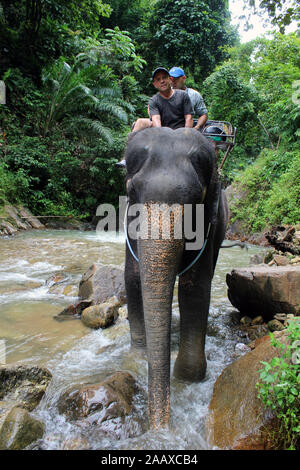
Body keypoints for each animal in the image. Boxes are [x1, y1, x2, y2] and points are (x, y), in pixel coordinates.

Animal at [123, 126, 229, 430]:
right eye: (131, 190)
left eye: (196, 198)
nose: (160, 427)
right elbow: (133, 278)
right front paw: (137, 357)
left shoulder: (209, 224)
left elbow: (195, 289)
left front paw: (189, 376)